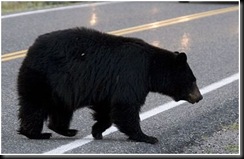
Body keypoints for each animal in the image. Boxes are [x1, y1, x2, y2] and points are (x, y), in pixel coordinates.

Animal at [17, 27, 203, 144]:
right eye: (193, 80)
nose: (200, 97)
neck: (151, 67)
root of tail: (30, 49)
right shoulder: (132, 74)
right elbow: (125, 105)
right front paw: (147, 137)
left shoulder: (108, 87)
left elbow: (106, 108)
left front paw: (97, 130)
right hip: (44, 77)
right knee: (34, 106)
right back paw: (37, 133)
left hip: (60, 87)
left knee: (61, 109)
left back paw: (67, 130)